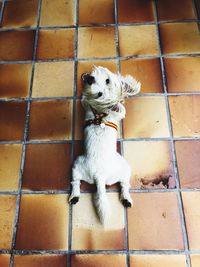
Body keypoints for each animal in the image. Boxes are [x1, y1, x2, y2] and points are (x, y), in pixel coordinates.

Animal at [69, 66, 141, 224]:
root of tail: (99, 176)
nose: (90, 79)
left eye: (107, 81)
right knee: (76, 182)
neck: (100, 113)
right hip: (80, 165)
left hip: (82, 164)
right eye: (99, 94)